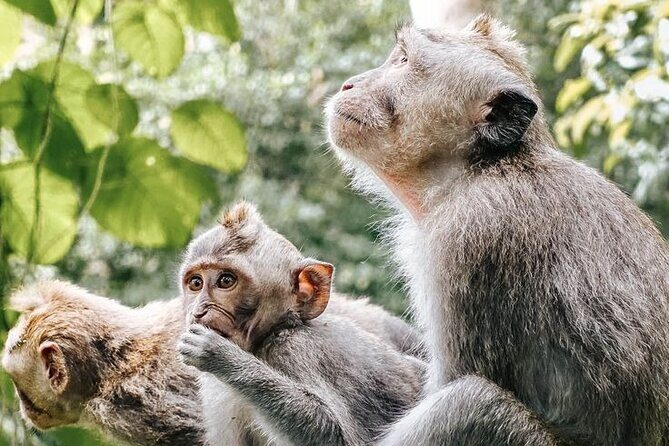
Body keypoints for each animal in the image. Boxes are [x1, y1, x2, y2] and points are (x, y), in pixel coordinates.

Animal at [177, 201, 425, 446]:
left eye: (226, 280)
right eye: (196, 283)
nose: (198, 311)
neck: (272, 335)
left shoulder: (296, 350)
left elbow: (339, 436)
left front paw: (222, 356)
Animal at [325, 14, 669, 446]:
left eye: (403, 61)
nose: (349, 84)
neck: (477, 169)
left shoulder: (471, 236)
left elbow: (447, 385)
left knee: (469, 404)